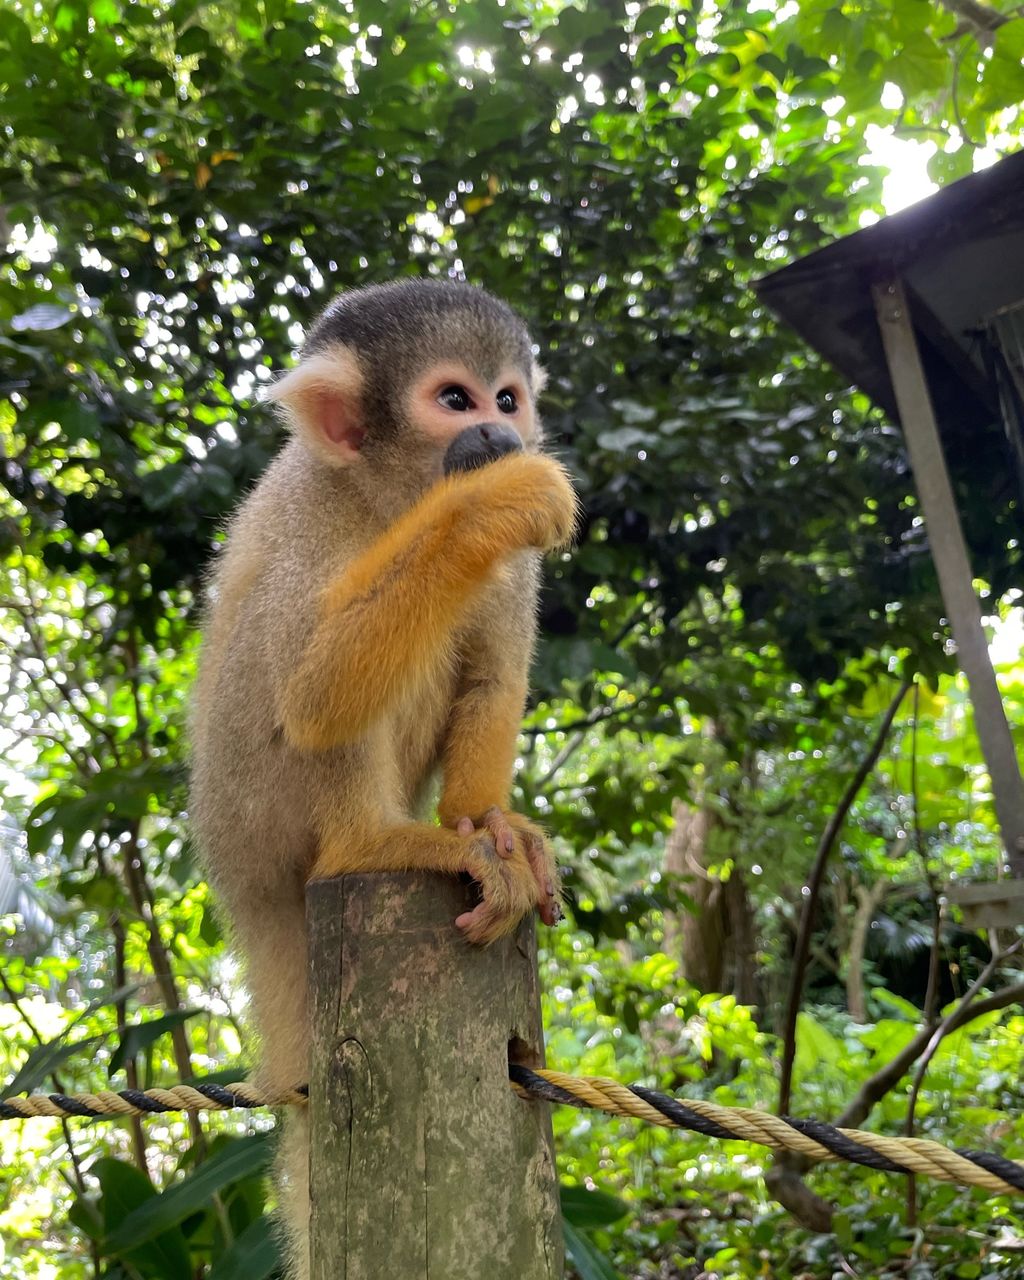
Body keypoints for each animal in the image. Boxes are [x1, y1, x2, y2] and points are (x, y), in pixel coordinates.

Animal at [188, 277, 576, 1269]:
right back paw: (367, 843)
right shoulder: (308, 512)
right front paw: (487, 507)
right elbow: (316, 695)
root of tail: (242, 887)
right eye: (455, 400)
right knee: (288, 682)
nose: (504, 436)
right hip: (249, 807)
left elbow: (491, 673)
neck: (392, 497)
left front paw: (488, 822)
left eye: (507, 398)